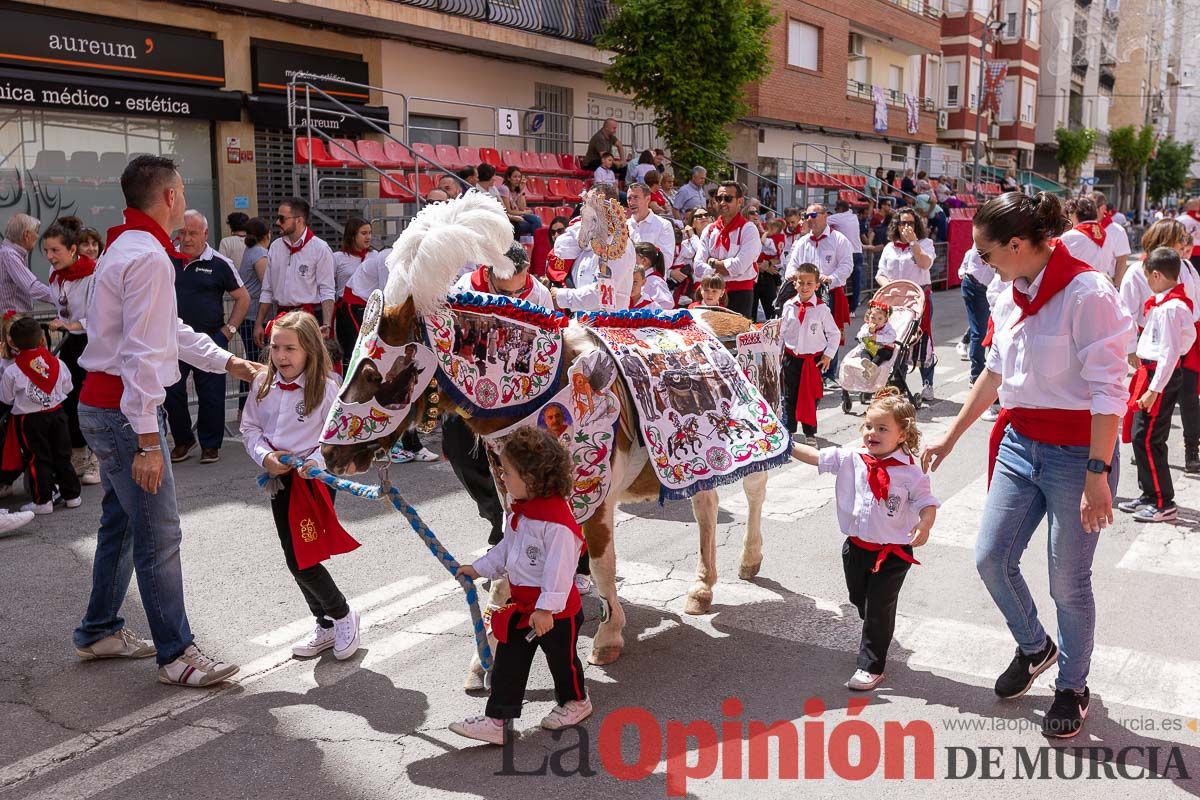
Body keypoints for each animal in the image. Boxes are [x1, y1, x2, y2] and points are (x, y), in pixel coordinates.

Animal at [321, 190, 787, 671]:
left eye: (373, 373)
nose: (330, 455)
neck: (547, 390)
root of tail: (739, 319)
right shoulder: (515, 498)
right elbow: (505, 565)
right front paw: (485, 656)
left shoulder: (595, 501)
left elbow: (601, 565)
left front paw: (608, 634)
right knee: (706, 506)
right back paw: (701, 587)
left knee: (753, 493)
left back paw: (749, 560)